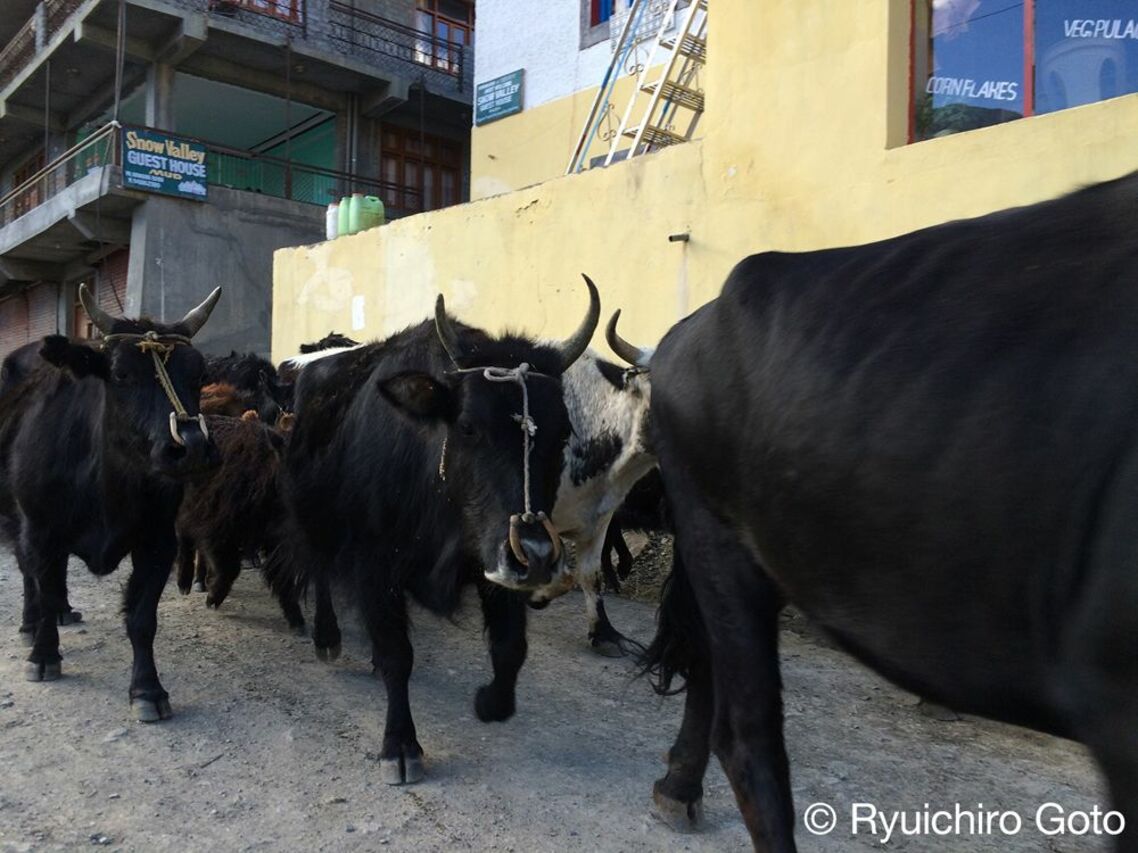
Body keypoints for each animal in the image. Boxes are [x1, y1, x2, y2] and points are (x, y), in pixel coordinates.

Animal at [0, 285, 220, 723]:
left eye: (199, 374)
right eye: (121, 374)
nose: (191, 447)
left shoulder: (158, 541)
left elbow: (142, 618)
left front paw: (148, 690)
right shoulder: (39, 530)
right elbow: (42, 588)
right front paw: (43, 656)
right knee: (30, 576)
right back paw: (32, 626)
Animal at [275, 277, 600, 787]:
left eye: (562, 432)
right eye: (468, 426)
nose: (537, 555)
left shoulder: (495, 555)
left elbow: (511, 647)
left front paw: (489, 703)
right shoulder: (374, 564)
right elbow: (398, 653)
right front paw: (400, 746)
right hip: (318, 523)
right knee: (322, 574)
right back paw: (327, 638)